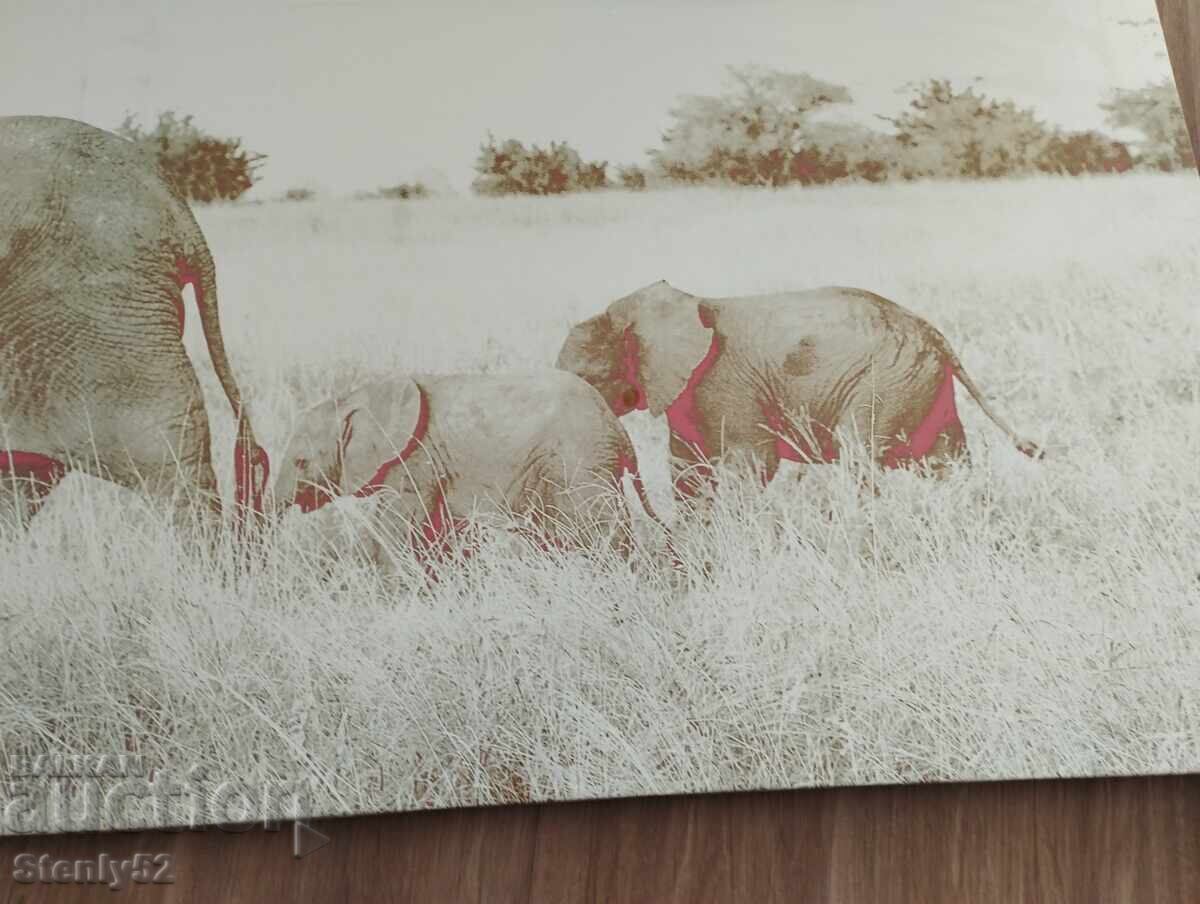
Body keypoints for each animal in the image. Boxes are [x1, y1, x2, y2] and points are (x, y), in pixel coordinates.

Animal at [273, 370, 669, 565]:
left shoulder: (415, 461)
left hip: (579, 465)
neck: (353, 398)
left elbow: (394, 530)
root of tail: (619, 432)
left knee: (603, 534)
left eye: (301, 462)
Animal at [556, 280, 1040, 497]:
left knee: (857, 452)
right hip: (920, 381)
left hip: (885, 380)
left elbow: (751, 464)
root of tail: (935, 334)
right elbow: (687, 470)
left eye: (590, 377)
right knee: (946, 458)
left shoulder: (722, 381)